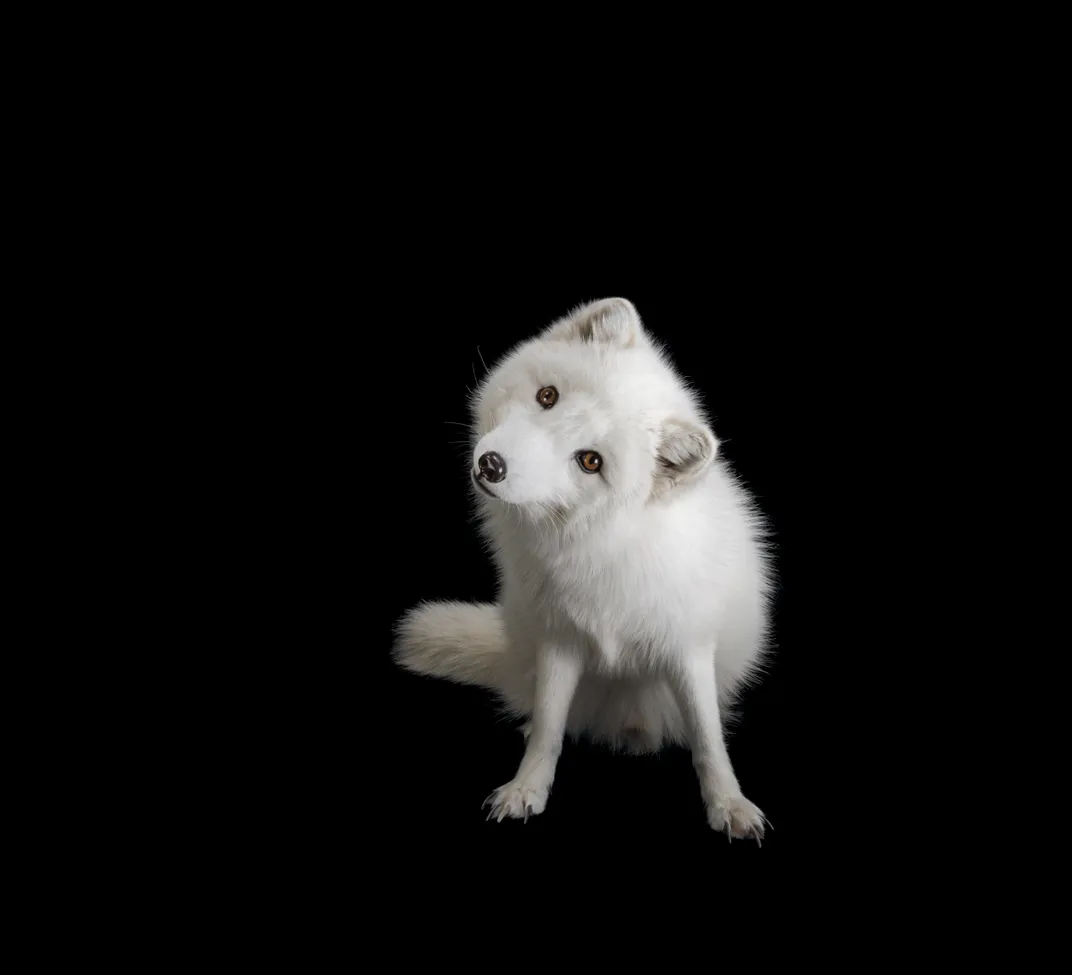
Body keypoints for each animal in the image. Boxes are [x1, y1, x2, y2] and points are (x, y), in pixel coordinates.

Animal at [393, 298, 774, 841]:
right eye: (547, 396)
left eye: (590, 462)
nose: (491, 465)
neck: (606, 547)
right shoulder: (560, 641)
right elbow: (551, 727)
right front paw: (526, 788)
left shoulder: (690, 648)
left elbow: (708, 739)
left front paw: (730, 803)